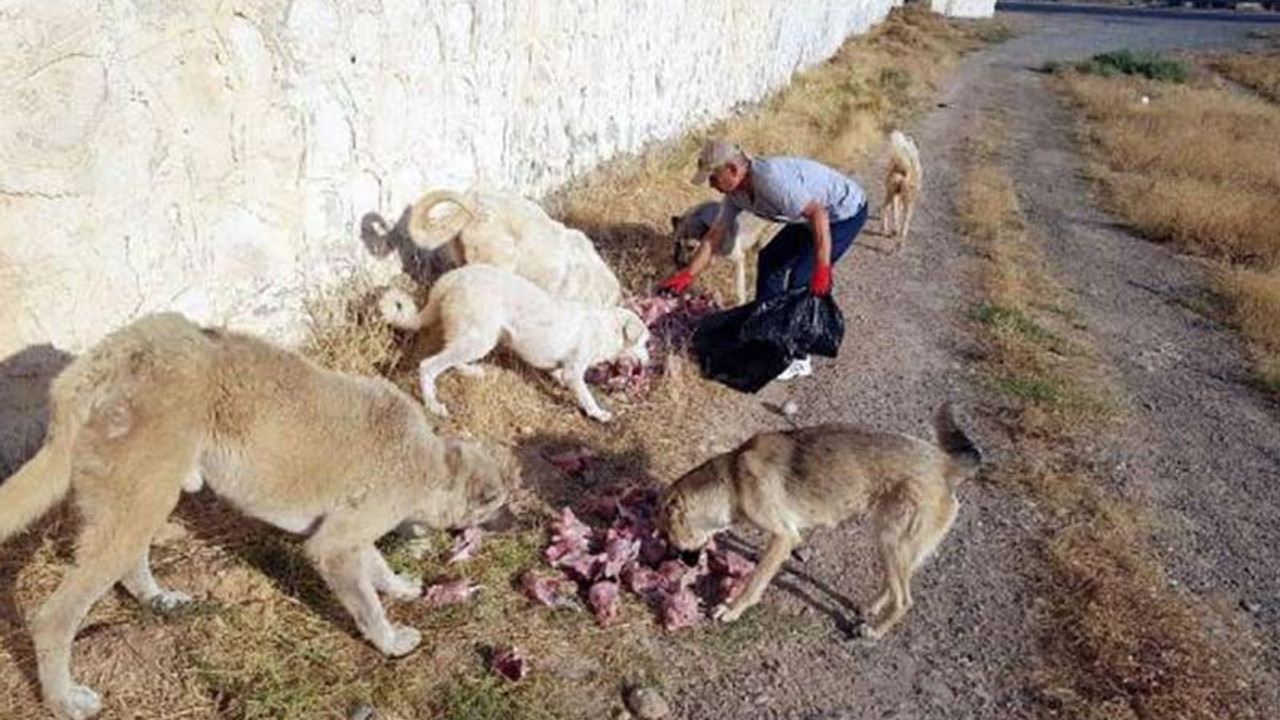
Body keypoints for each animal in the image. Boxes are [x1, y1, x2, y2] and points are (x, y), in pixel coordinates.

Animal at [3, 313, 519, 717]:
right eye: (498, 503)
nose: (520, 523)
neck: (429, 462)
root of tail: (99, 366)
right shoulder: (334, 546)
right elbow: (366, 603)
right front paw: (389, 641)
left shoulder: (350, 534)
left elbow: (377, 568)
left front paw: (401, 587)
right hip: (140, 499)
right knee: (54, 618)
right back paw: (63, 700)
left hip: (144, 500)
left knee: (132, 562)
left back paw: (159, 600)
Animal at [373, 262, 645, 420]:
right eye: (645, 343)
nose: (649, 363)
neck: (604, 327)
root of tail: (452, 278)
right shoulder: (574, 371)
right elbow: (586, 395)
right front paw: (598, 413)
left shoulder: (561, 368)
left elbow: (558, 376)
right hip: (479, 339)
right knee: (428, 366)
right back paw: (432, 405)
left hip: (474, 337)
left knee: (450, 357)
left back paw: (469, 371)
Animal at [660, 399, 977, 635]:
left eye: (668, 535)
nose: (680, 562)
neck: (732, 478)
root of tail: (947, 464)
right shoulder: (788, 536)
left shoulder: (782, 537)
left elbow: (755, 581)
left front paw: (732, 609)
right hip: (891, 541)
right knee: (895, 586)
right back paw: (870, 608)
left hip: (892, 540)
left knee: (905, 601)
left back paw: (873, 631)